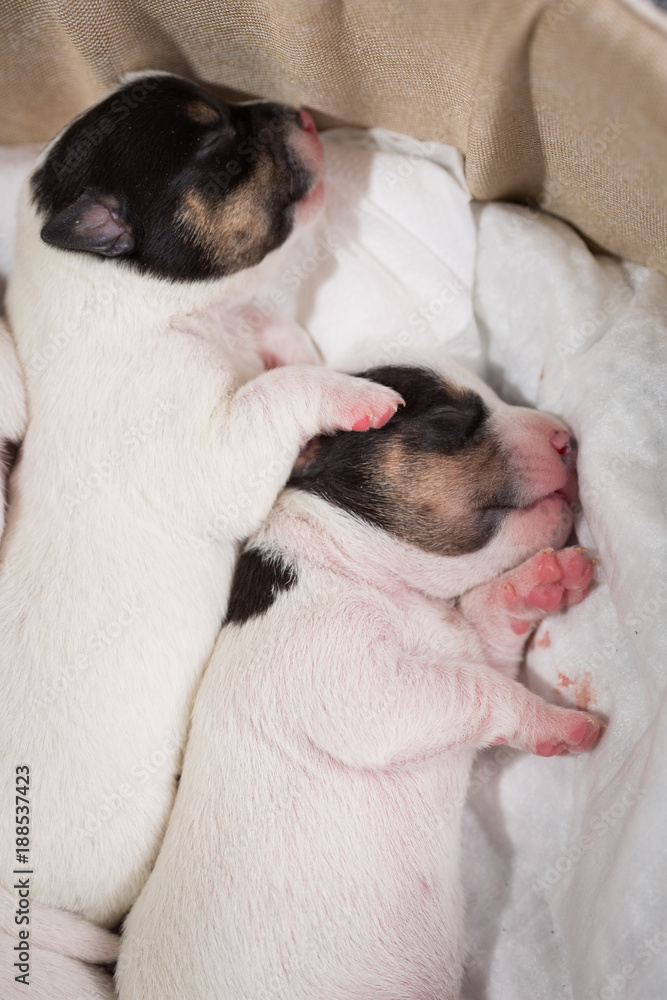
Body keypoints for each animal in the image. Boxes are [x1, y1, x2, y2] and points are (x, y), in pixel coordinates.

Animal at [0, 72, 402, 928]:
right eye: (224, 154)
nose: (302, 112)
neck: (119, 291)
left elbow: (276, 345)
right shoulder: (203, 441)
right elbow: (278, 395)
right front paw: (352, 397)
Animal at [117, 360, 604, 1000]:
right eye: (450, 418)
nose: (567, 438)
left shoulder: (458, 650)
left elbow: (486, 640)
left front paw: (538, 584)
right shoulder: (350, 683)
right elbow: (481, 689)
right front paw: (557, 722)